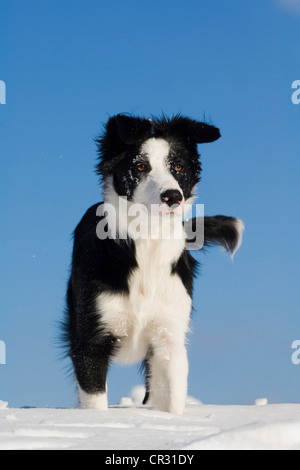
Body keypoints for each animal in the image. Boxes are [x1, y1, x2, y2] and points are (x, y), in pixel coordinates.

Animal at [65, 114, 244, 414]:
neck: (146, 239)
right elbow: (96, 404)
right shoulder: (91, 343)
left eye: (178, 166)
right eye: (140, 166)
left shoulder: (168, 338)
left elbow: (173, 402)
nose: (173, 196)